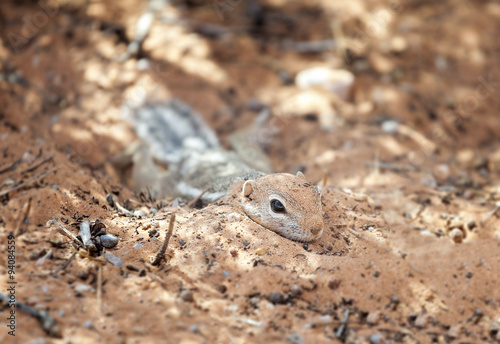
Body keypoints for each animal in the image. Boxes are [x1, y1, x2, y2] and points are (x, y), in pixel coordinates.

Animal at [120, 99, 324, 242]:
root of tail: (195, 150)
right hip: (163, 186)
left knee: (238, 138)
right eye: (277, 206)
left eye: (317, 194)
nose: (316, 229)